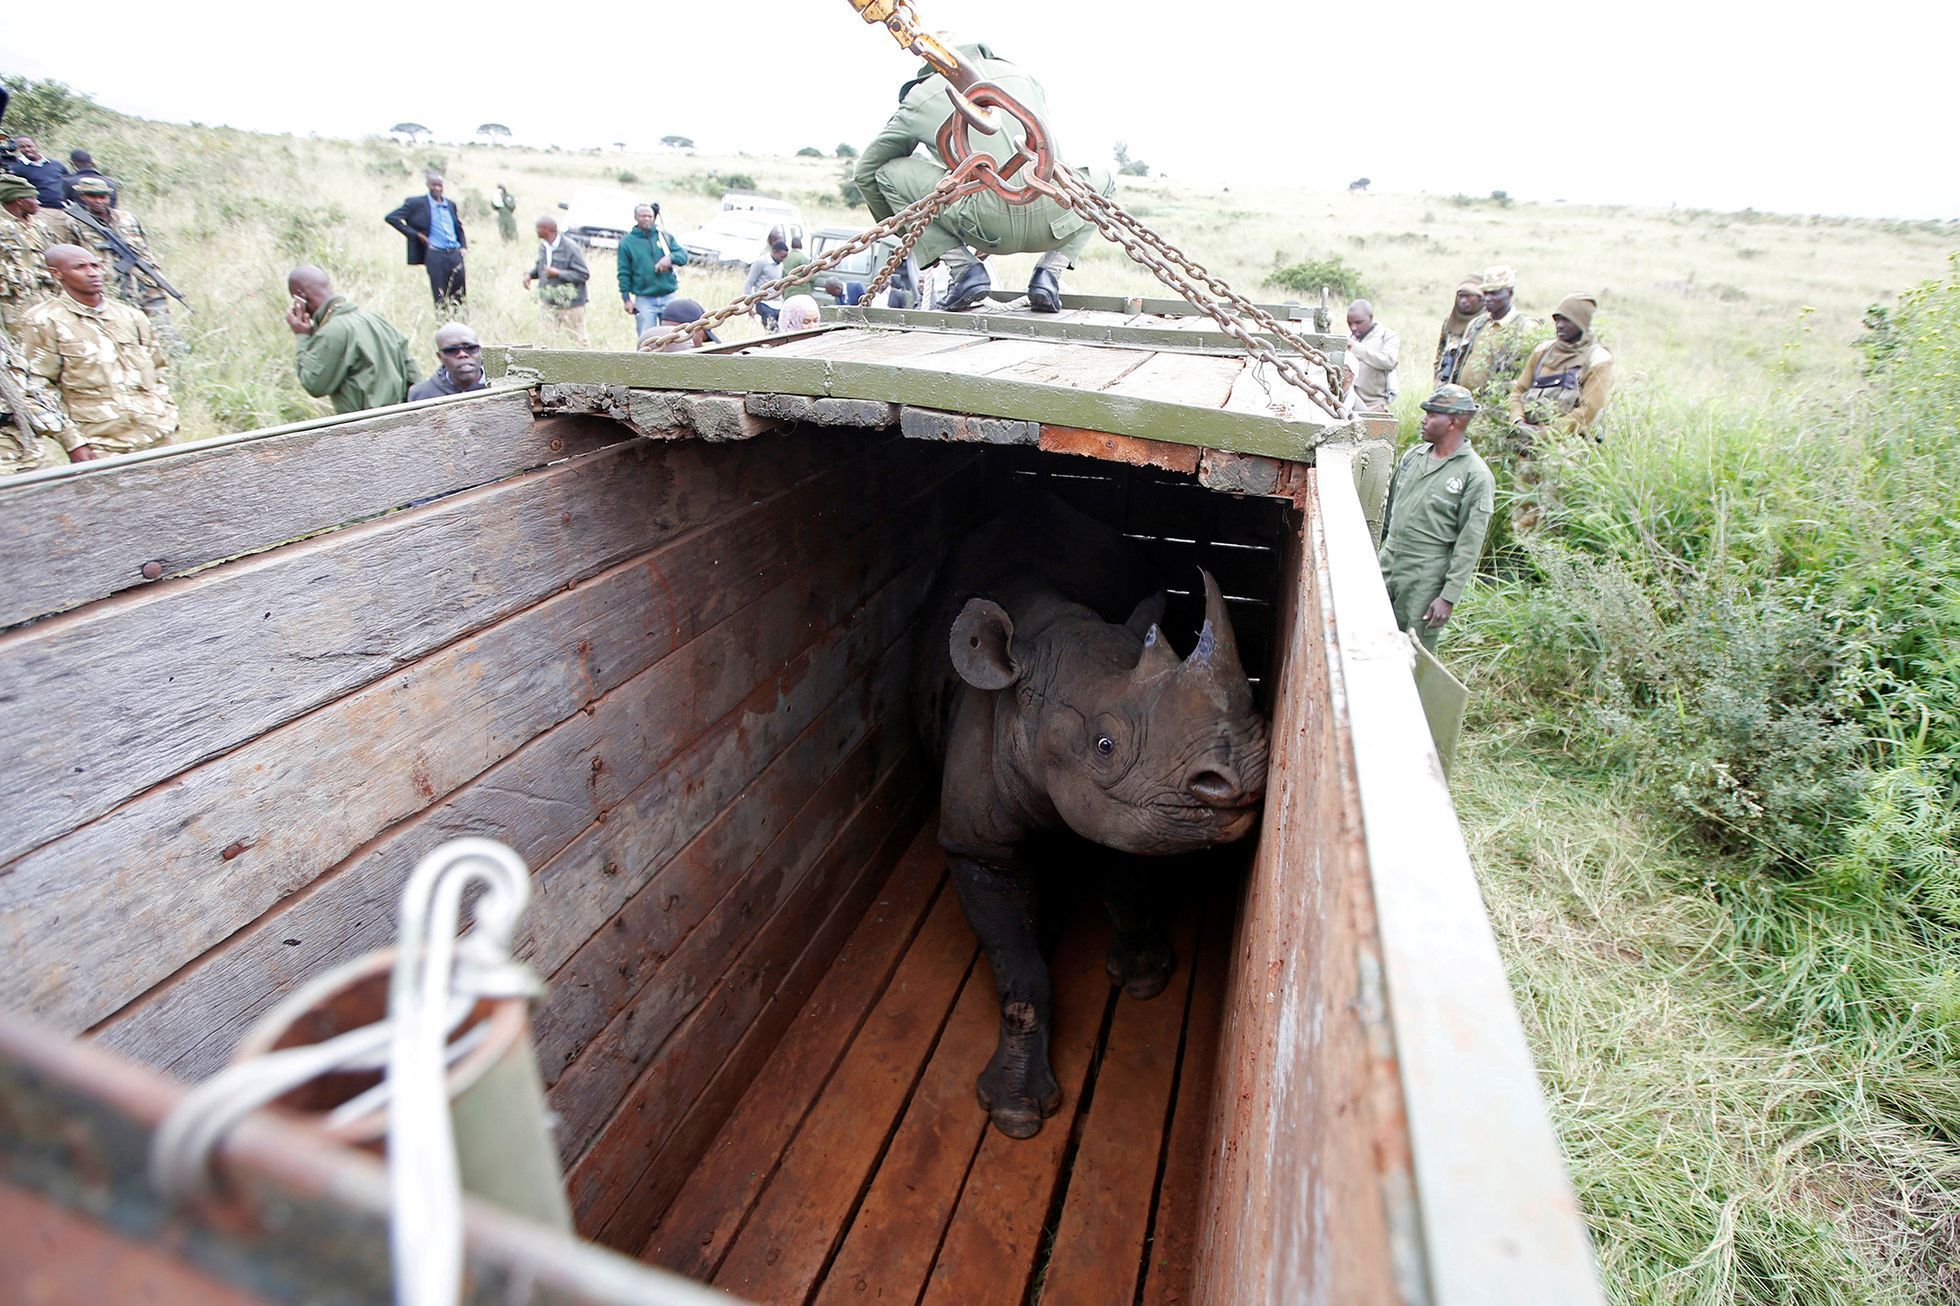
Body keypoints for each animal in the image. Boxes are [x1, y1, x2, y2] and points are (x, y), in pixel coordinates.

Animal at [917, 498, 1270, 1129]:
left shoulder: (1130, 811)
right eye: (1105, 745)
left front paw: (1145, 977)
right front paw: (1015, 1113)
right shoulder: (978, 845)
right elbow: (1022, 971)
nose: (1245, 776)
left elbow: (1127, 889)